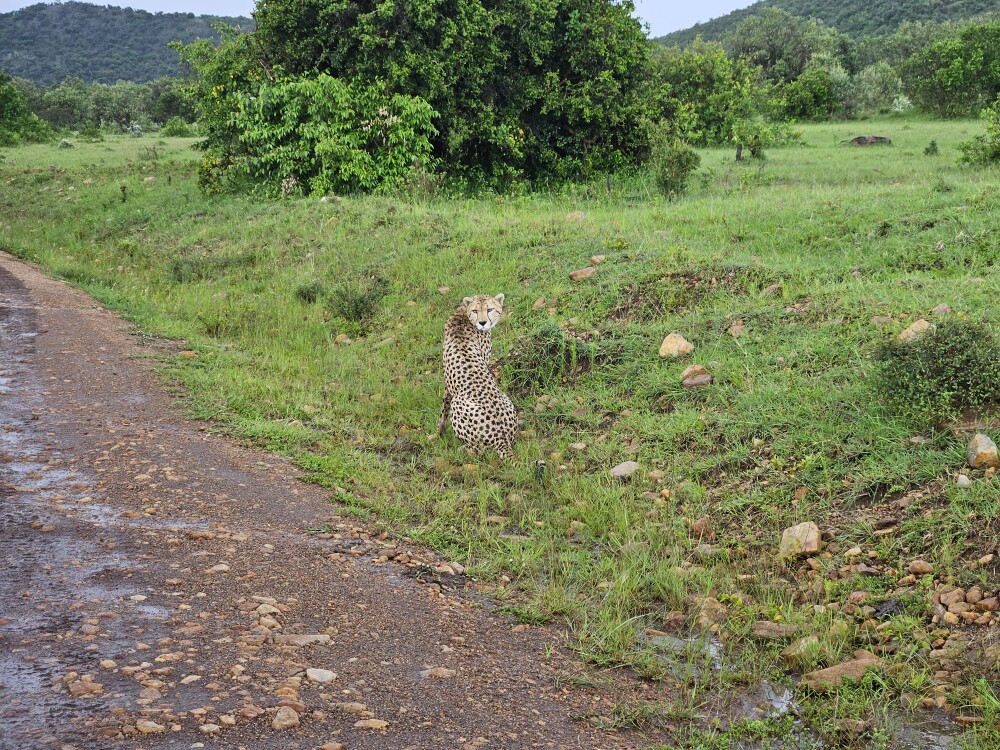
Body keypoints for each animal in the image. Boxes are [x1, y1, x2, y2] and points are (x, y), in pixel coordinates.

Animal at [437, 294, 518, 459]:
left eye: (489, 309)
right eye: (475, 310)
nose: (482, 323)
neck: (464, 315)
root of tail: (502, 438)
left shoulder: (448, 383)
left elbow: (444, 407)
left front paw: (439, 431)